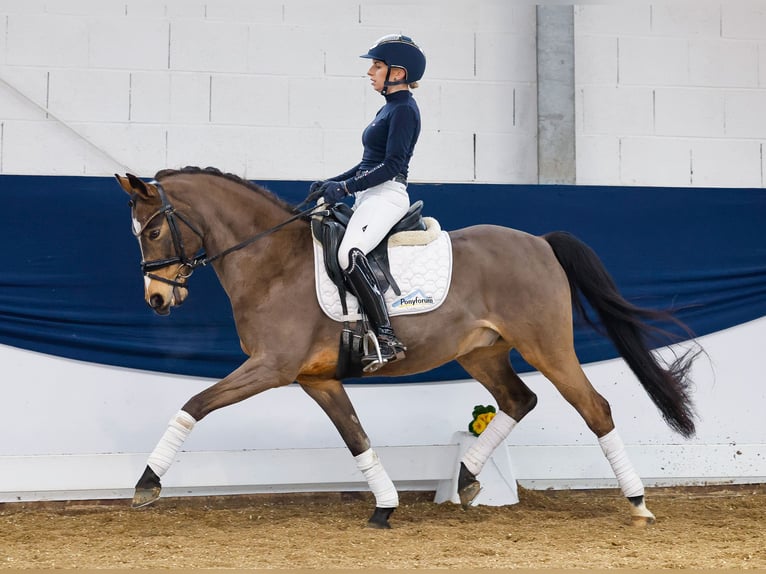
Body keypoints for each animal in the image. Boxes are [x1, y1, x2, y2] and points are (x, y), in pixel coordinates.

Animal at [115, 168, 704, 532]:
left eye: (152, 230)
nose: (157, 299)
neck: (272, 262)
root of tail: (539, 242)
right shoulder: (317, 379)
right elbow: (357, 438)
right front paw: (385, 507)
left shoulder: (270, 368)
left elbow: (193, 405)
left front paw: (146, 483)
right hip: (481, 352)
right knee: (518, 401)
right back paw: (465, 479)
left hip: (548, 346)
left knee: (594, 408)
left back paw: (638, 504)